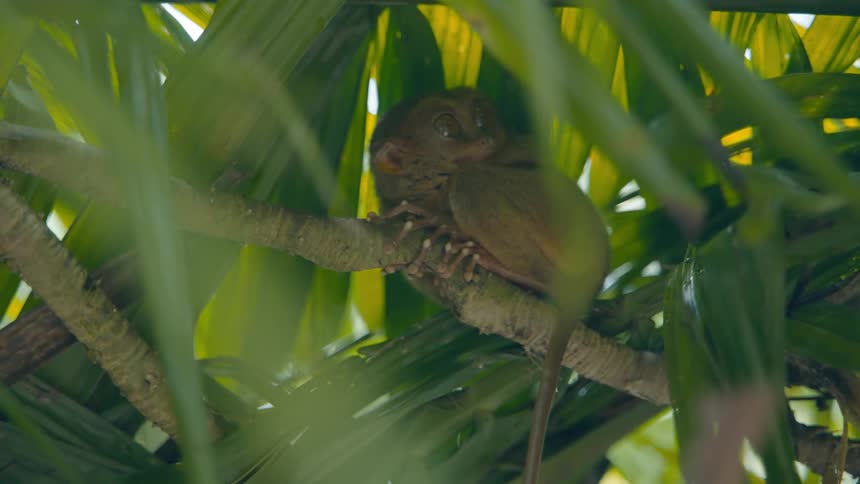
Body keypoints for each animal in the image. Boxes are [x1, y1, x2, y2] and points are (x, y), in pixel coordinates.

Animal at [369, 88, 610, 484]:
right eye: (447, 128)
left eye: (480, 119)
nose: (484, 137)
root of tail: (593, 280)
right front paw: (418, 244)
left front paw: (434, 222)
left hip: (567, 229)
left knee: (471, 182)